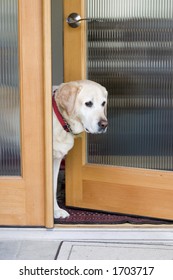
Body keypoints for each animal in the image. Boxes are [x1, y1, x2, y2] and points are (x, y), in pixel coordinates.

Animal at [52, 79, 108, 219]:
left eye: (103, 103)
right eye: (88, 103)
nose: (104, 124)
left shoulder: (55, 159)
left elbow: (52, 186)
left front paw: (55, 210)